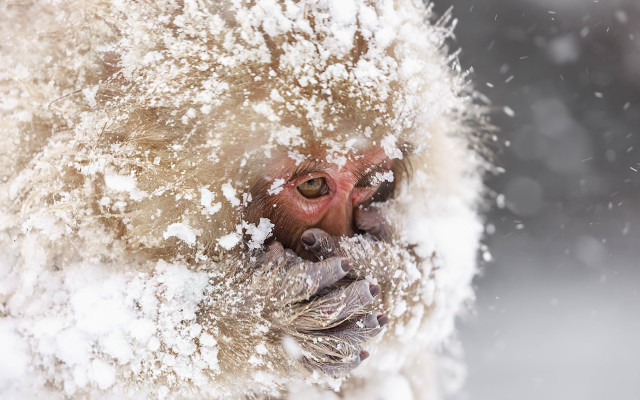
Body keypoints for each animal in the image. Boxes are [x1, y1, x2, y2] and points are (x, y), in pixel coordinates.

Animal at [0, 0, 488, 399]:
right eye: (314, 186)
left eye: (369, 182)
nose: (341, 232)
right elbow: (60, 347)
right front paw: (266, 316)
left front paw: (387, 268)